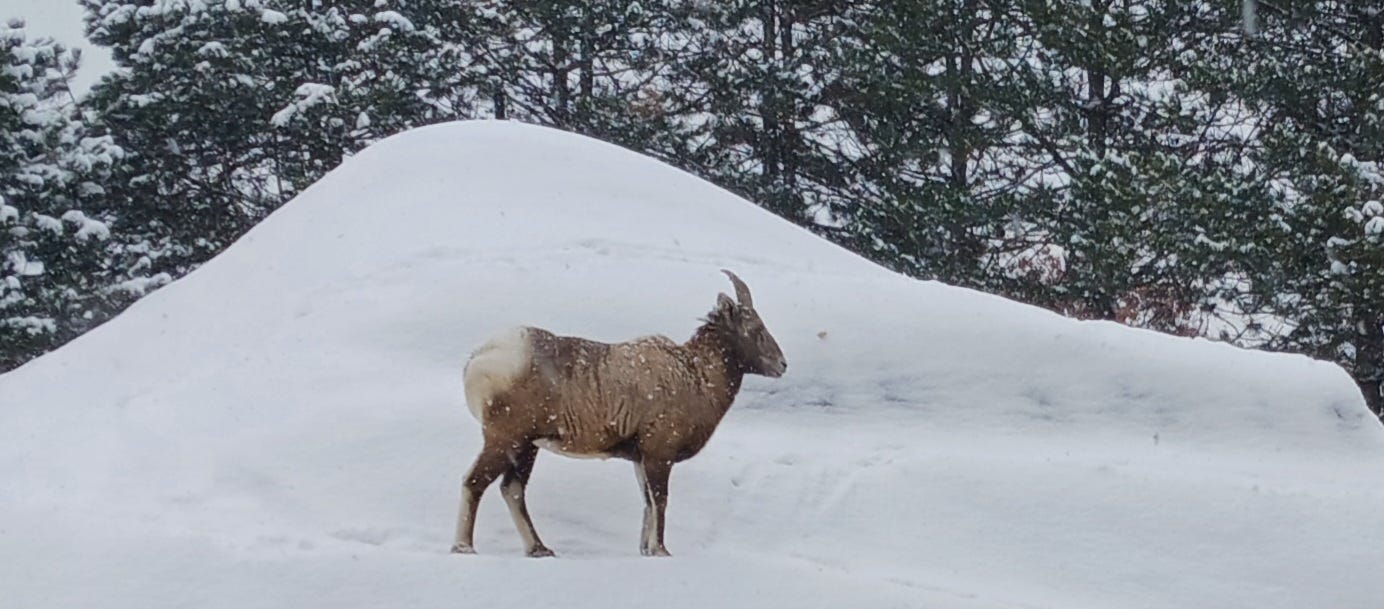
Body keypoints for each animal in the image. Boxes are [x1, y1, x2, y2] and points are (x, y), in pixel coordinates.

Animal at [449, 269, 787, 558]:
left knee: (512, 489)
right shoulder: (658, 455)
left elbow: (648, 505)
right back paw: (464, 548)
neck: (695, 375)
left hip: (527, 447)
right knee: (474, 482)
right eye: (755, 330)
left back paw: (539, 550)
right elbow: (660, 502)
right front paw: (661, 552)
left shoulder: (640, 459)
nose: (782, 365)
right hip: (505, 439)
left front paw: (646, 551)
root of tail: (478, 359)